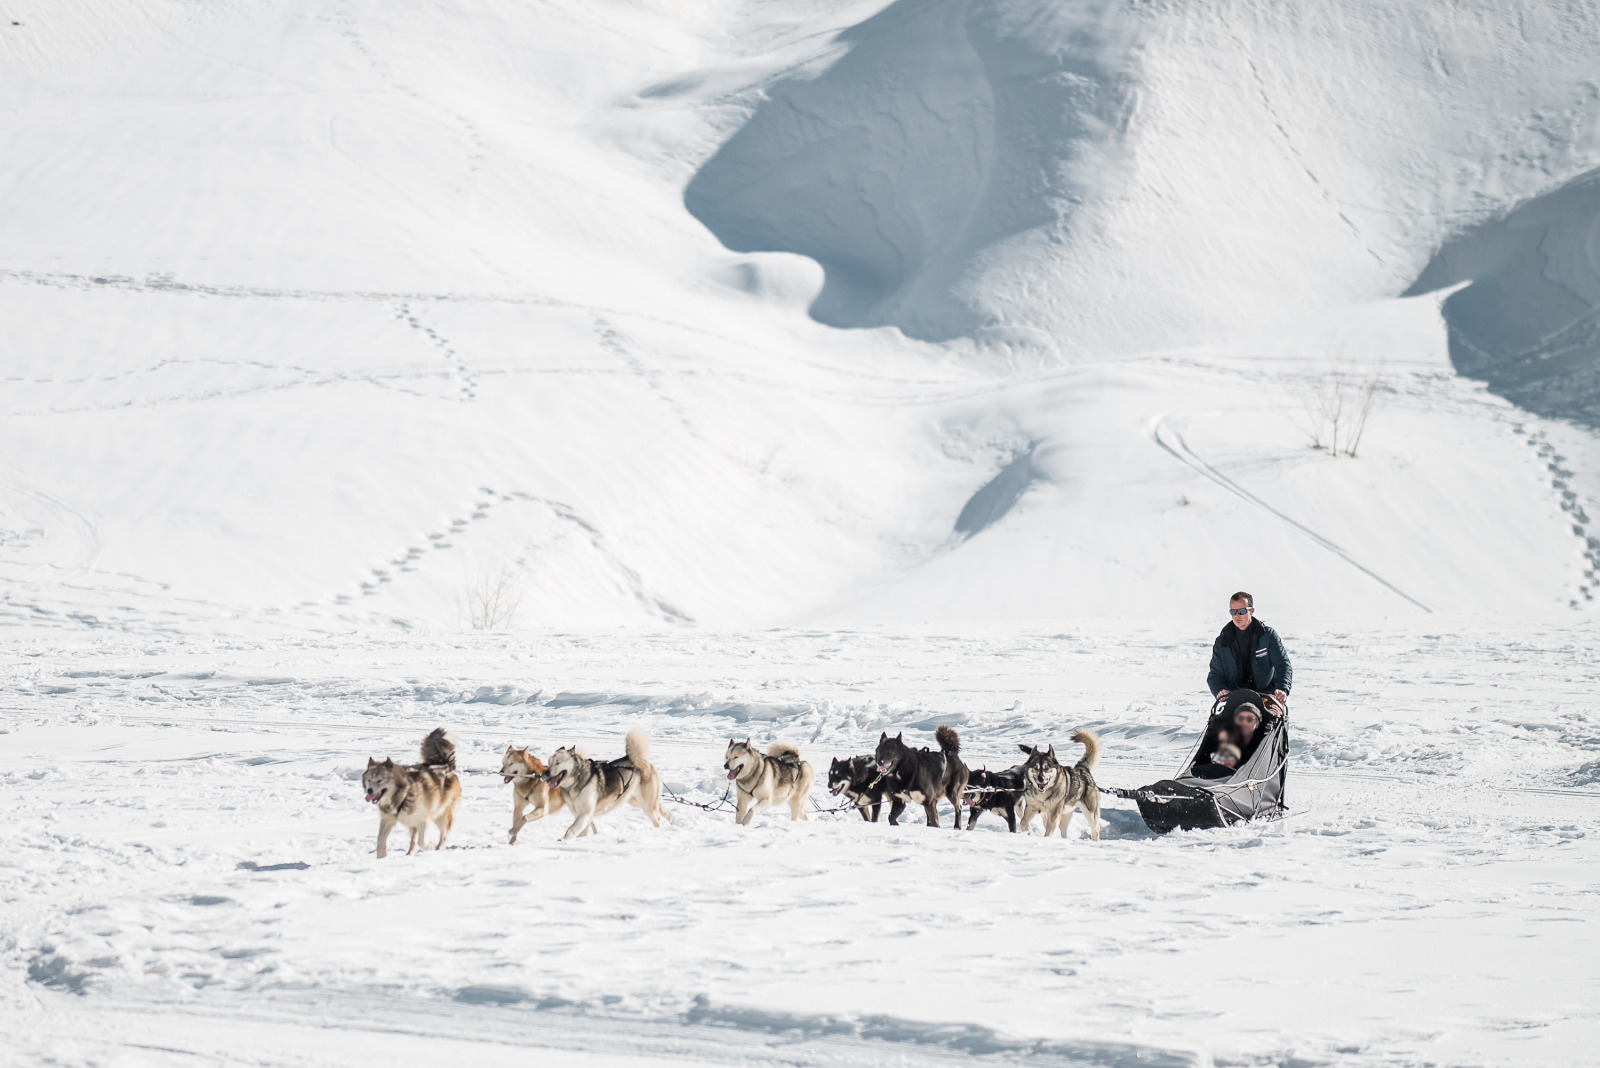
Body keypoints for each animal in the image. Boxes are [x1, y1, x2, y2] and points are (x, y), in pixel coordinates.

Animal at [361, 725, 460, 856]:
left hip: (442, 815)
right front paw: (382, 857)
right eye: (369, 780)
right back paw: (410, 854)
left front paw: (430, 847)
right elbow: (380, 840)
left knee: (443, 836)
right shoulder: (388, 819)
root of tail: (445, 767)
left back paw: (438, 849)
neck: (403, 794)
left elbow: (422, 842)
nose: (369, 791)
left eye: (379, 780)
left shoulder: (423, 820)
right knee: (414, 840)